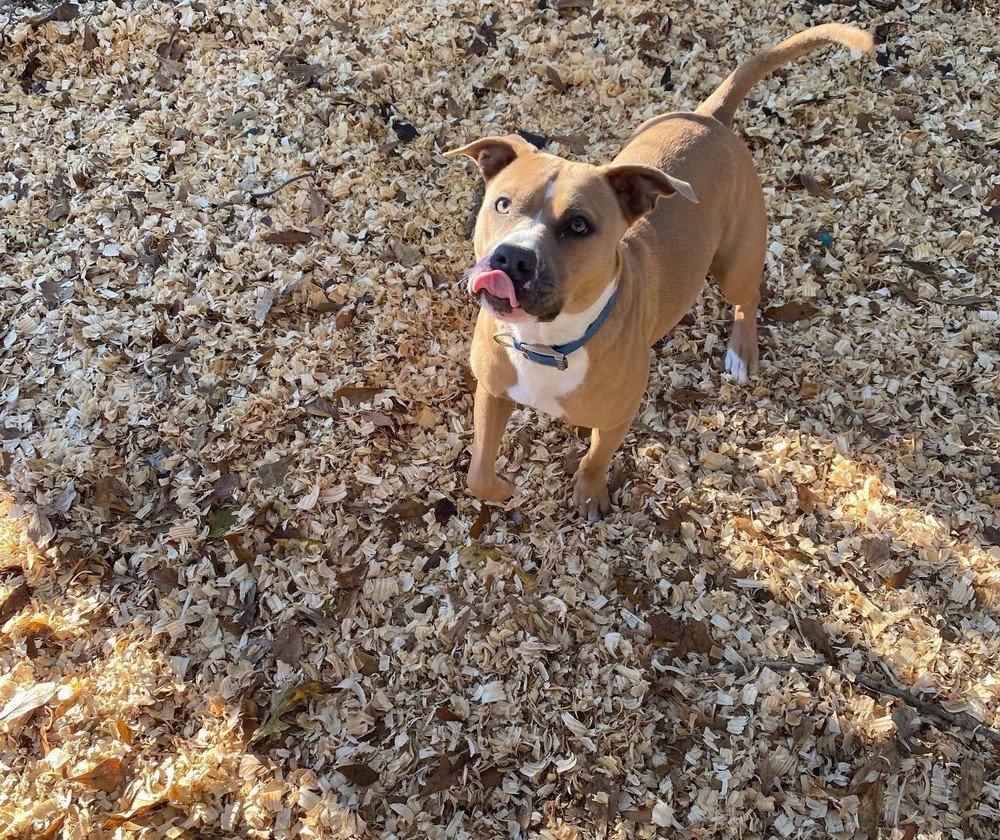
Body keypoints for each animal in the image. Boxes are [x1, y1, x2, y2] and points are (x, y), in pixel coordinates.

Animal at [448, 23, 876, 520]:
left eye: (579, 225)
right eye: (501, 204)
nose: (512, 257)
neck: (546, 345)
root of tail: (709, 119)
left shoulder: (617, 418)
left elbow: (596, 458)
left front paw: (589, 493)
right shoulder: (492, 390)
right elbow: (478, 472)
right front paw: (502, 490)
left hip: (734, 261)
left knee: (747, 297)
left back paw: (741, 351)